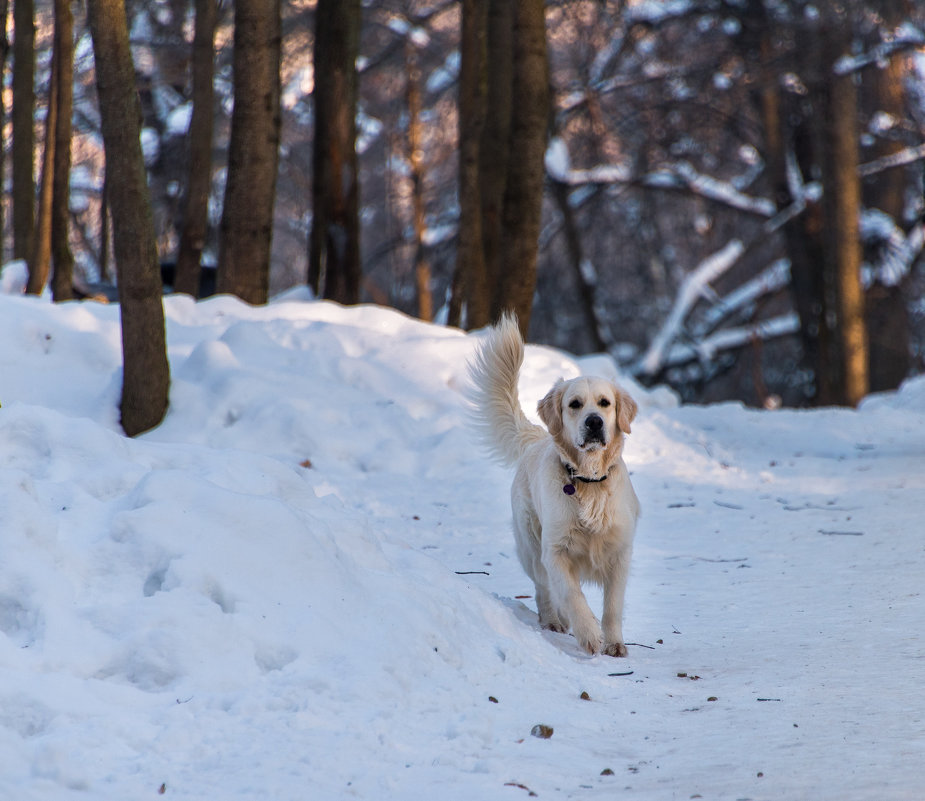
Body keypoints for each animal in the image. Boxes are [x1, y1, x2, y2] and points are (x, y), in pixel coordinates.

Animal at [466, 312, 640, 656]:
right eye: (575, 404)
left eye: (605, 403)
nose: (594, 422)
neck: (588, 481)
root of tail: (537, 437)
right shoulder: (556, 550)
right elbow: (572, 595)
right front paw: (588, 634)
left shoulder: (619, 553)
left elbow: (612, 605)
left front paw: (614, 643)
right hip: (531, 544)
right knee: (543, 587)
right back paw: (553, 620)